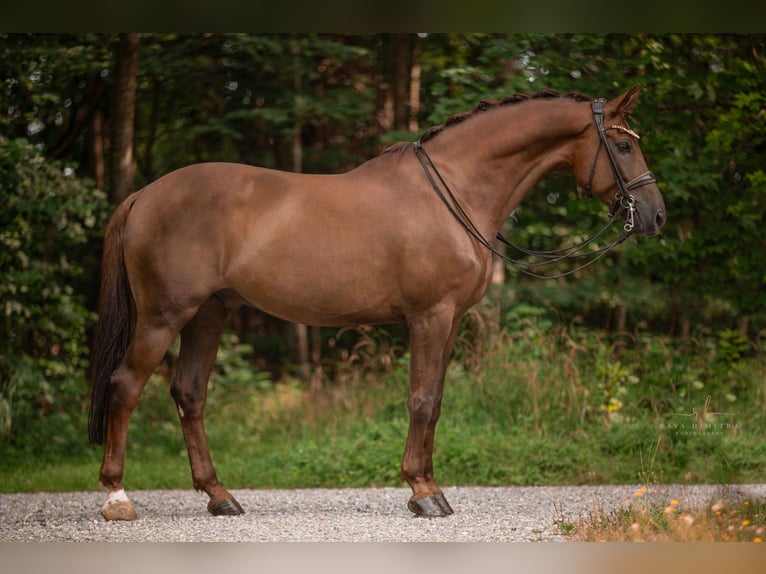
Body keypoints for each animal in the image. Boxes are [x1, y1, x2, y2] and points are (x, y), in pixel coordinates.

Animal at [88, 85, 664, 520]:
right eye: (623, 146)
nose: (655, 215)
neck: (456, 189)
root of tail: (144, 195)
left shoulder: (451, 320)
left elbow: (435, 402)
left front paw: (429, 485)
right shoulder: (429, 317)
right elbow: (421, 400)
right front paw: (423, 493)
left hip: (209, 313)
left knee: (189, 393)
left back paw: (219, 496)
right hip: (163, 317)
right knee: (126, 386)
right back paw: (117, 497)